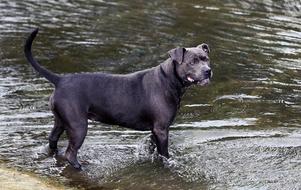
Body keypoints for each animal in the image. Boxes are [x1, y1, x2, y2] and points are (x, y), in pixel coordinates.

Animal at [24, 27, 211, 168]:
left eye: (206, 59)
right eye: (192, 62)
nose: (208, 71)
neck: (168, 80)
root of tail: (60, 80)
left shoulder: (156, 130)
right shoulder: (162, 130)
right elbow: (164, 154)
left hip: (61, 121)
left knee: (52, 139)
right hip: (78, 126)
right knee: (70, 153)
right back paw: (80, 167)